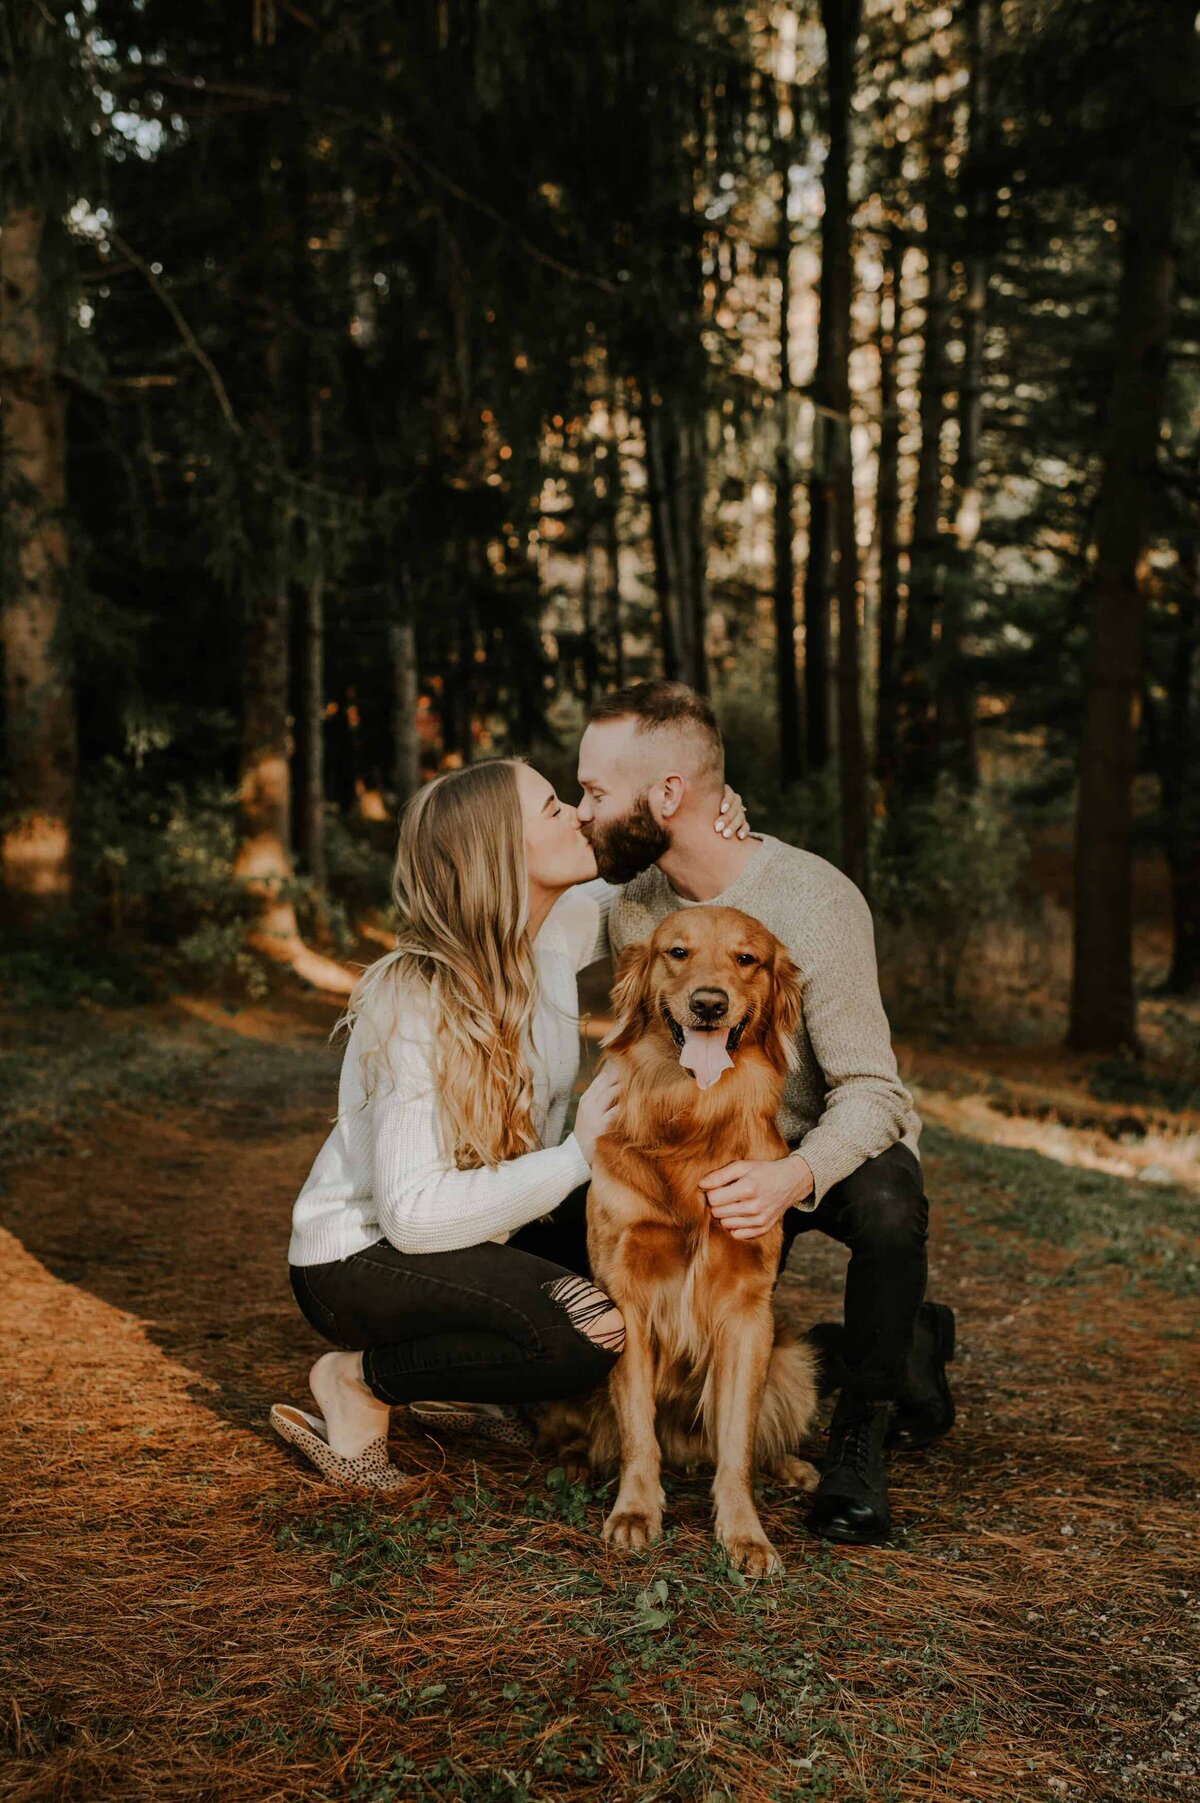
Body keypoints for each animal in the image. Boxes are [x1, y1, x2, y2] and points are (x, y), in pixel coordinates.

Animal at [536, 908, 818, 1572]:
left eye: (747, 959)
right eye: (678, 952)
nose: (709, 1004)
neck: (694, 1117)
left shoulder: (748, 1313)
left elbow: (737, 1441)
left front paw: (745, 1534)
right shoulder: (626, 1302)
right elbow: (638, 1428)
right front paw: (636, 1512)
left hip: (792, 1359)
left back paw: (792, 1467)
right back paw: (576, 1466)